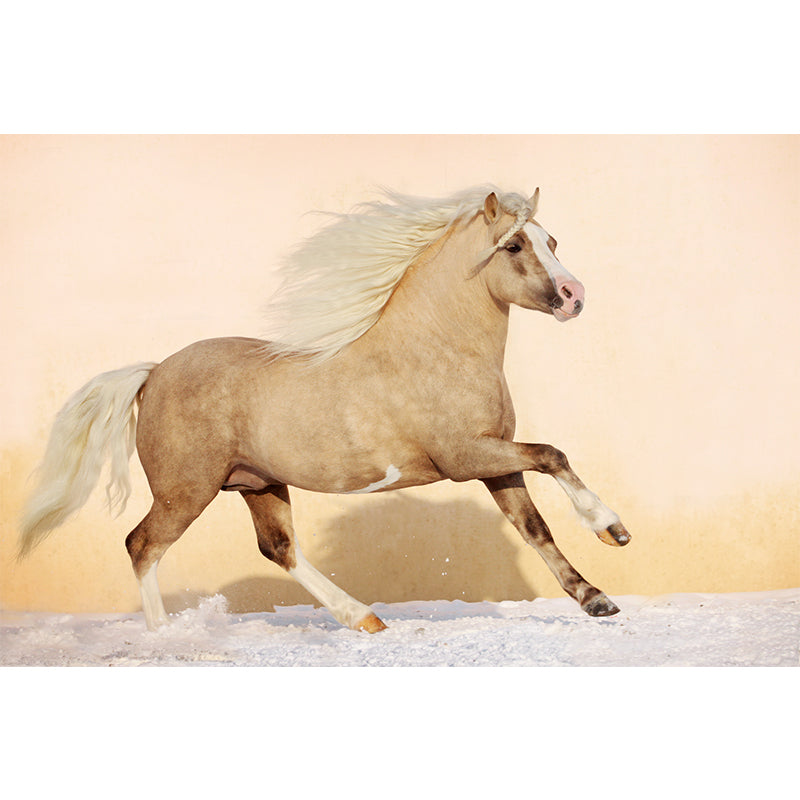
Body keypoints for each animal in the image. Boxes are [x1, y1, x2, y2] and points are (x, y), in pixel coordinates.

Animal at [19, 185, 630, 633]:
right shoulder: (466, 457)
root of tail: (153, 373)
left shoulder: (495, 461)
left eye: (552, 240)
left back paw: (363, 619)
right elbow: (552, 454)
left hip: (259, 484)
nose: (575, 296)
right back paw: (164, 635)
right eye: (514, 247)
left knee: (278, 547)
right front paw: (611, 527)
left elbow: (535, 526)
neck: (436, 349)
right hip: (184, 490)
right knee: (142, 545)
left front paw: (596, 597)